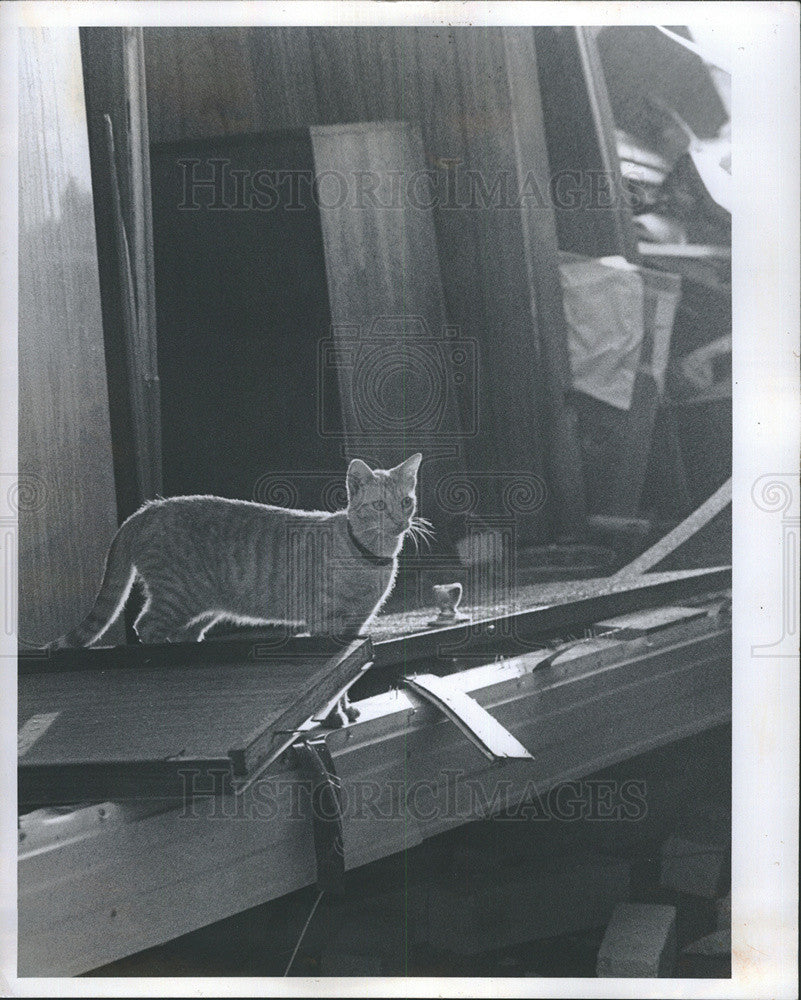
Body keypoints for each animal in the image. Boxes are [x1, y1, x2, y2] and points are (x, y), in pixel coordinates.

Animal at [48, 454, 432, 648]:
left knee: (181, 632)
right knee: (146, 627)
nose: (400, 521)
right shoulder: (324, 625)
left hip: (200, 606)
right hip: (177, 596)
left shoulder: (354, 625)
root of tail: (146, 509)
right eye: (380, 506)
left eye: (406, 501)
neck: (370, 559)